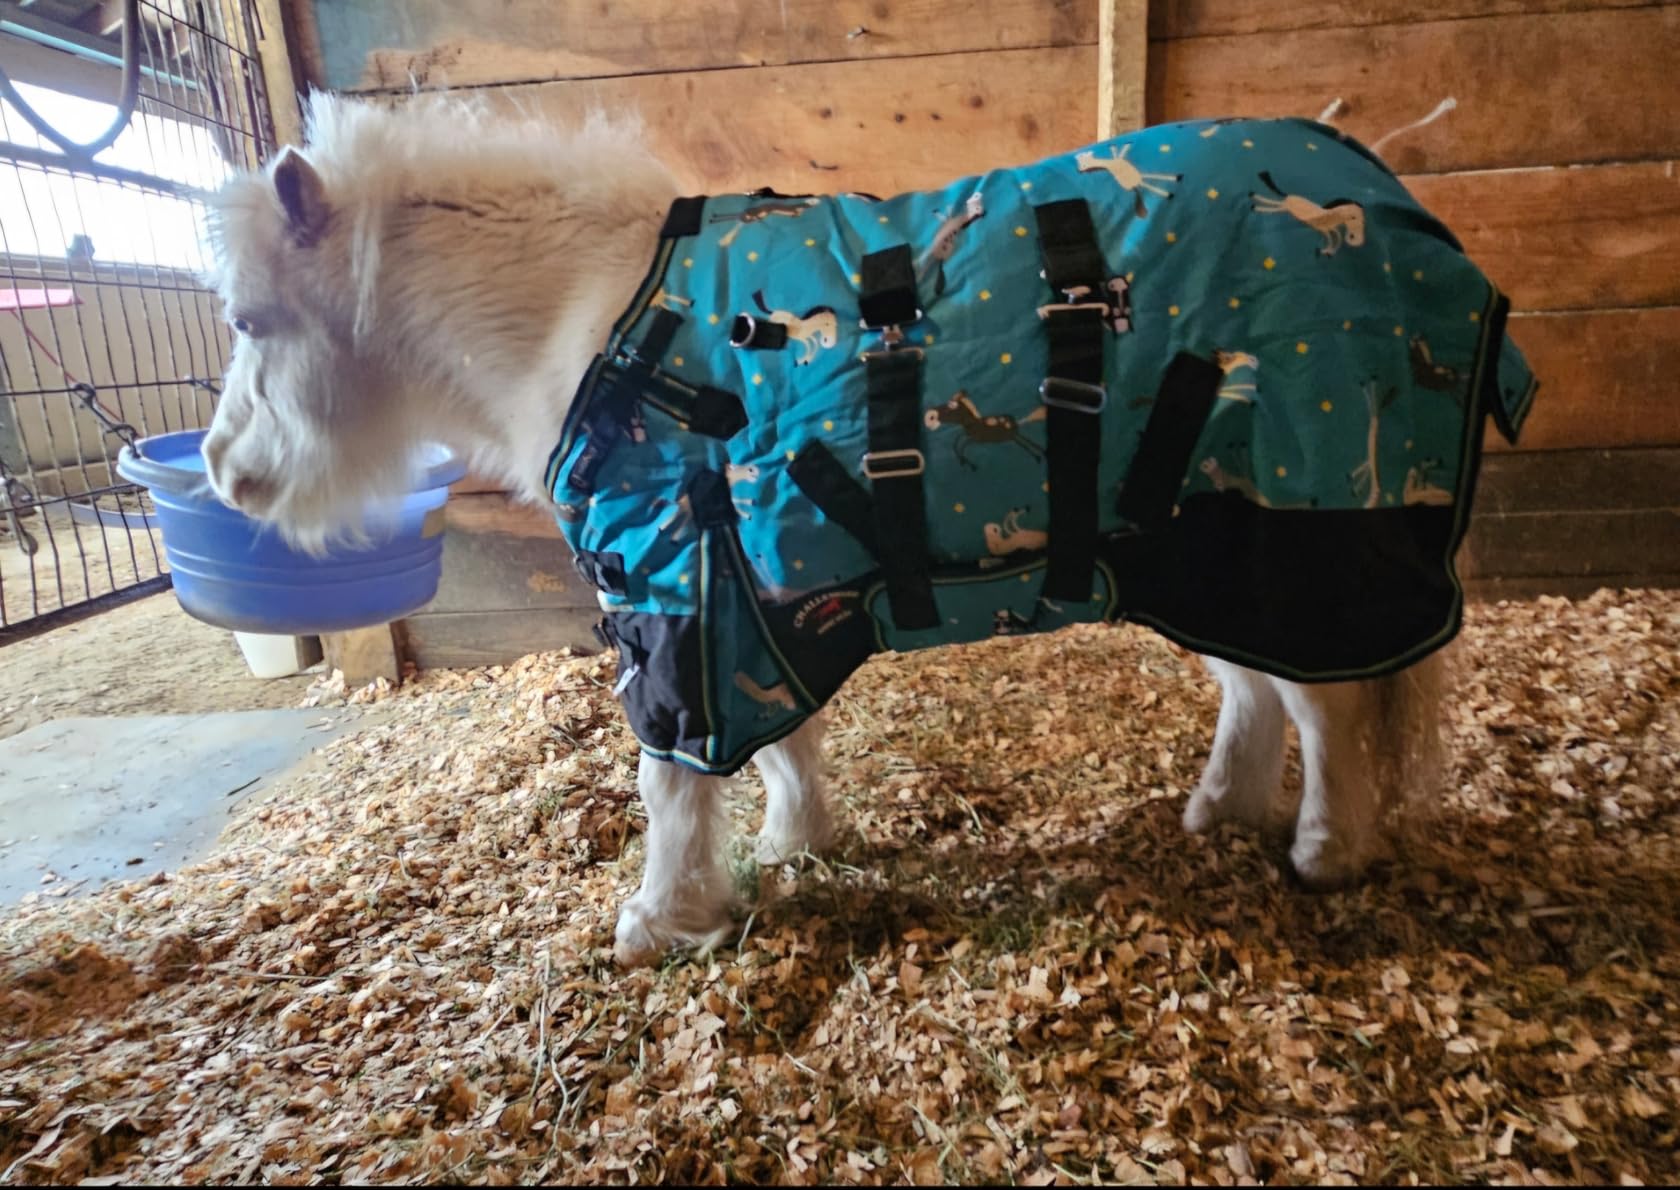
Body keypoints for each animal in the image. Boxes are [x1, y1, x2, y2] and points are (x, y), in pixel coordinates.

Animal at [199, 93, 1450, 966]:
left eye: (251, 319)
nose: (224, 470)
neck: (593, 319)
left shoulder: (674, 595)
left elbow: (673, 774)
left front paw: (660, 916)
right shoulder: (751, 584)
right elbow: (779, 737)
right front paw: (795, 841)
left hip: (1286, 543)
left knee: (1326, 703)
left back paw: (1326, 850)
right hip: (1199, 556)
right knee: (1258, 692)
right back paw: (1218, 813)